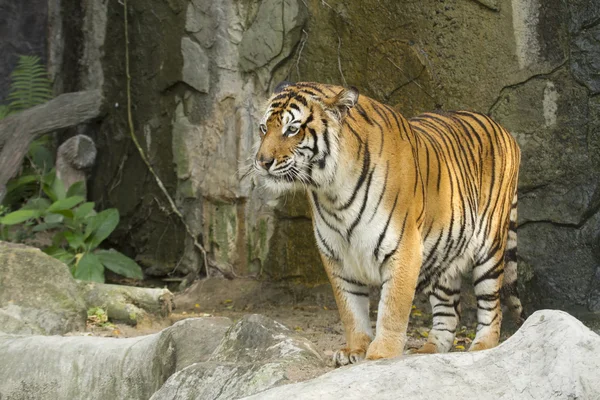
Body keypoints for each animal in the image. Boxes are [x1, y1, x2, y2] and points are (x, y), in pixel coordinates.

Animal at [251, 80, 524, 366]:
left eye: (292, 129)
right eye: (263, 128)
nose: (262, 162)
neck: (332, 192)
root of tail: (505, 130)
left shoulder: (404, 247)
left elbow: (393, 307)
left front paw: (382, 354)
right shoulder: (336, 255)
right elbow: (350, 308)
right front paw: (355, 349)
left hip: (489, 250)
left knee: (492, 307)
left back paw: (481, 347)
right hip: (444, 254)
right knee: (449, 312)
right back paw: (427, 351)